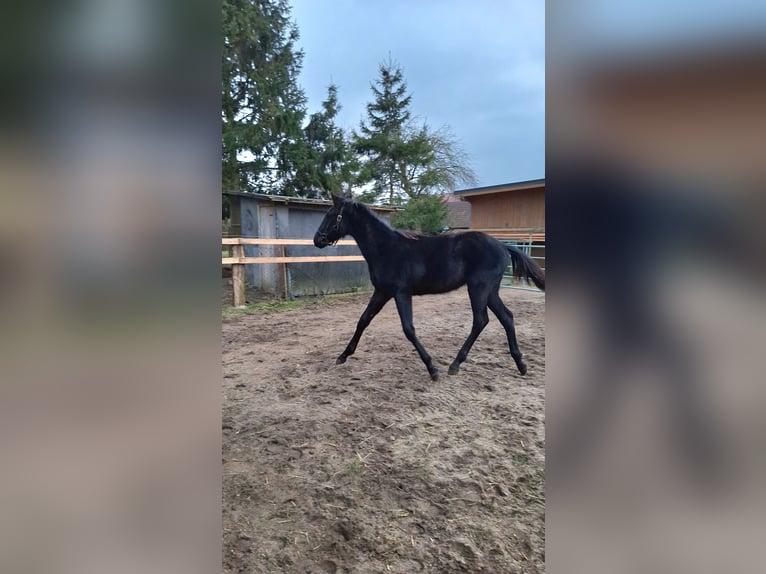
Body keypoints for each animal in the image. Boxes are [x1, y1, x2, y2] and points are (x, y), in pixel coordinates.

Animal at [314, 195, 544, 382]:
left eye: (332, 215)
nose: (318, 239)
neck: (386, 249)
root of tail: (503, 246)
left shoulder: (401, 292)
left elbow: (408, 329)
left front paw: (432, 369)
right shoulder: (382, 292)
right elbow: (363, 320)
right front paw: (343, 355)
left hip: (479, 288)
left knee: (480, 320)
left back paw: (455, 364)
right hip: (491, 291)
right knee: (506, 317)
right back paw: (521, 365)